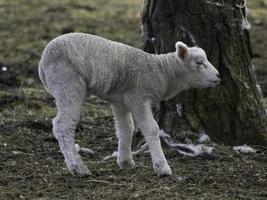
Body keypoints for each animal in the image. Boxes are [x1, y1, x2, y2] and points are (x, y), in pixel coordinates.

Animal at [38, 32, 222, 177]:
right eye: (199, 63)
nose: (218, 76)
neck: (163, 72)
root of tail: (42, 62)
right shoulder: (138, 98)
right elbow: (152, 129)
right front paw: (162, 167)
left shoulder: (120, 100)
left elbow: (126, 128)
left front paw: (125, 161)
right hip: (67, 84)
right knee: (63, 125)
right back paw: (78, 167)